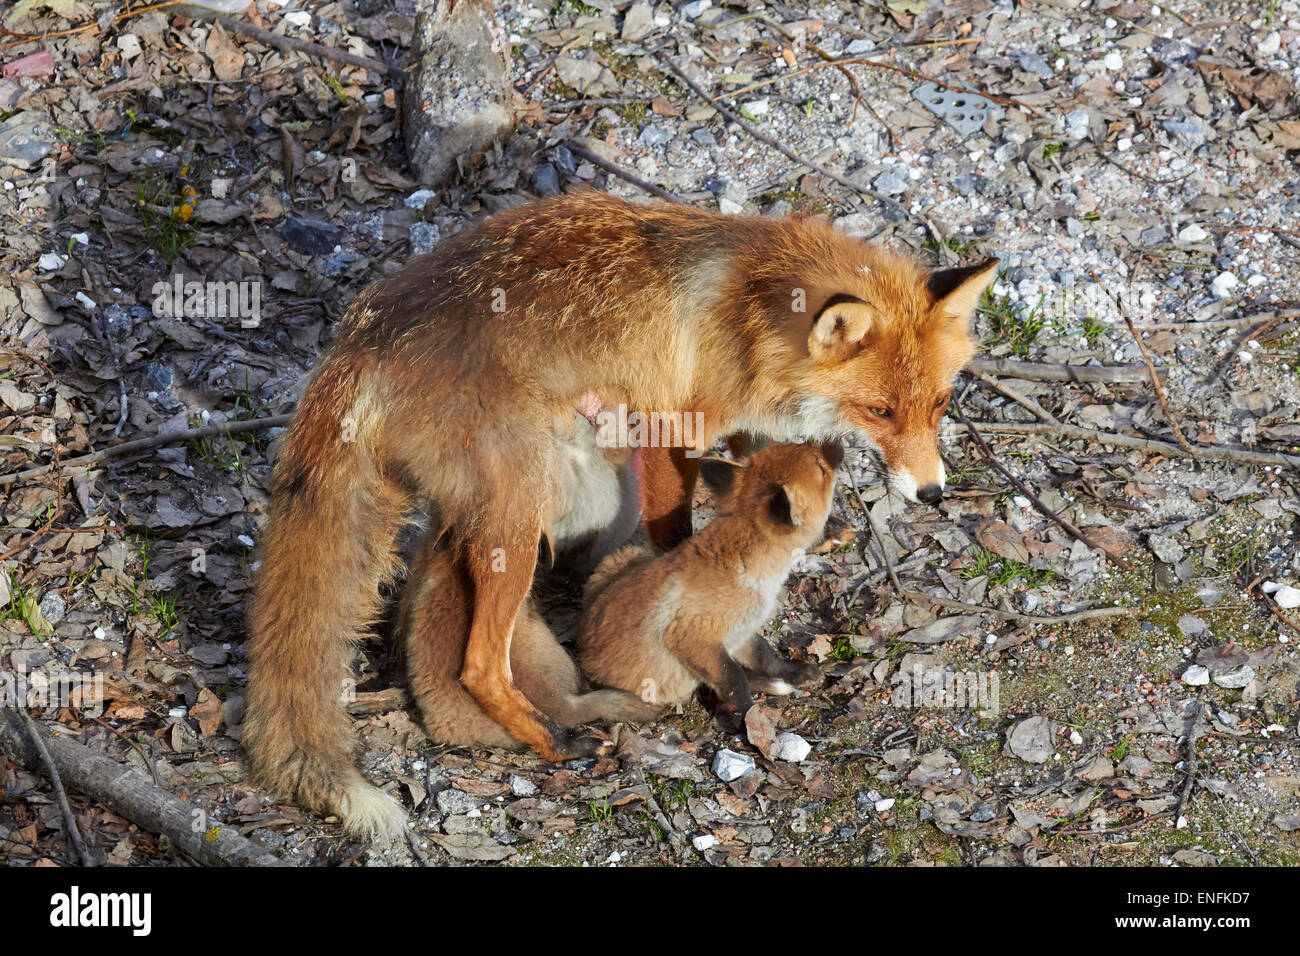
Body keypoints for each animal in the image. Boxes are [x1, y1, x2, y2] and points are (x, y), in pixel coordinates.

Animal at [577, 444, 837, 723]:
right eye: (822, 467)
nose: (835, 446)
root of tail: (582, 655)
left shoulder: (741, 630)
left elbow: (765, 657)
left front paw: (793, 673)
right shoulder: (693, 637)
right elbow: (735, 680)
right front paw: (748, 719)